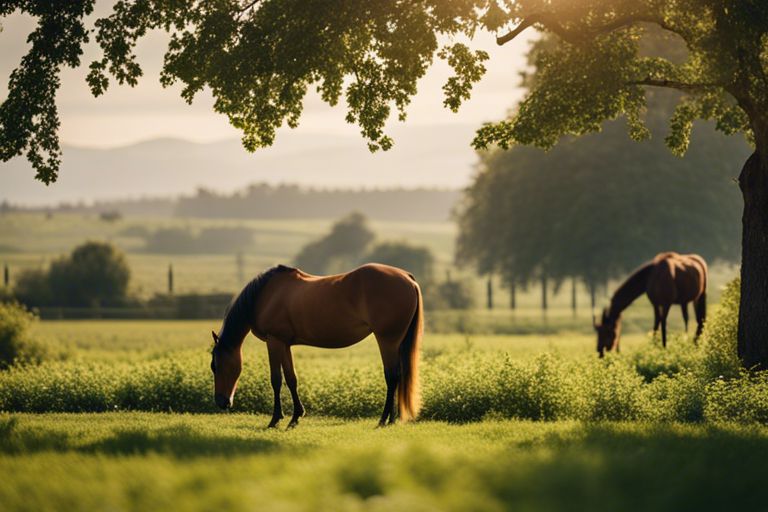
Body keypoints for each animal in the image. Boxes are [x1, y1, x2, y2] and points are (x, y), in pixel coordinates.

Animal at [210, 264, 424, 428]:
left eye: (216, 366)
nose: (221, 402)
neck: (267, 295)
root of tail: (407, 278)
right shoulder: (284, 343)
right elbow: (291, 379)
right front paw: (295, 417)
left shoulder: (274, 341)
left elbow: (276, 380)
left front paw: (275, 419)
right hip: (396, 342)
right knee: (397, 376)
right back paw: (391, 419)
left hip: (387, 340)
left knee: (391, 376)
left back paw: (383, 419)